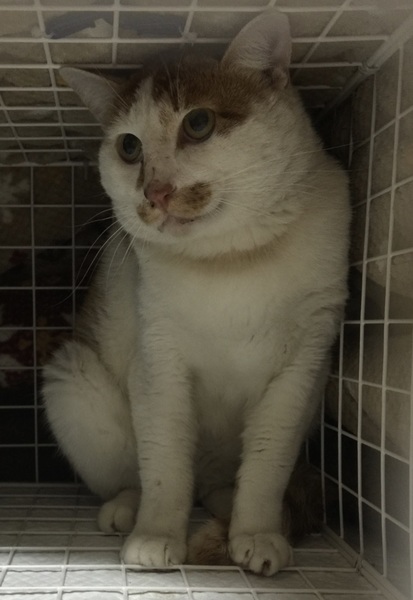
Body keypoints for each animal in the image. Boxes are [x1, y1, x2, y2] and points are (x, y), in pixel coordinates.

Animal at [43, 9, 350, 576]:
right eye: (129, 147)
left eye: (199, 123)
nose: (156, 192)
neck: (229, 261)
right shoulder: (158, 360)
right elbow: (165, 464)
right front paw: (156, 536)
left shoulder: (301, 369)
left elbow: (267, 467)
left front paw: (257, 534)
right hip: (71, 379)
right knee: (144, 477)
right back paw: (125, 510)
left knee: (218, 485)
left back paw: (228, 506)